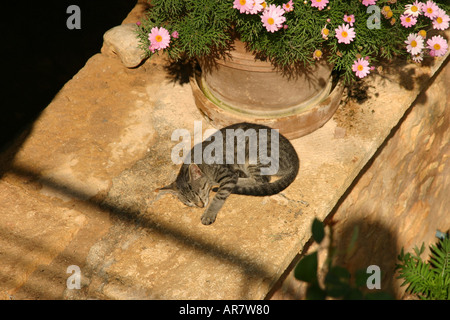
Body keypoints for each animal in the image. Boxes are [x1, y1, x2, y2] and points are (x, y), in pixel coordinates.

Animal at [156, 122, 300, 225]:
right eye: (188, 202)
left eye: (199, 192)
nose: (200, 205)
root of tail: (295, 160)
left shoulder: (227, 175)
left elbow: (218, 197)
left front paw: (209, 213)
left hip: (255, 157)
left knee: (261, 180)